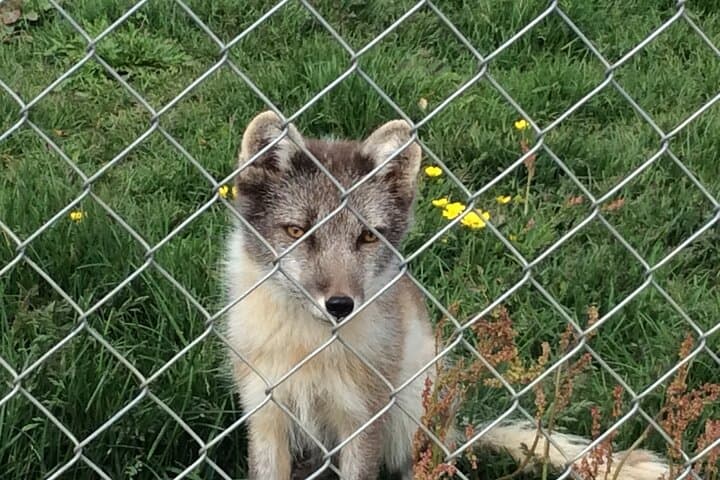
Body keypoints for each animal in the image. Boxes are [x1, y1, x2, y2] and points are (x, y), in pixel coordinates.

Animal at [223, 111, 670, 480]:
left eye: (367, 237)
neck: (310, 350)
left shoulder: (364, 419)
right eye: (297, 231)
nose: (340, 306)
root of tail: (454, 429)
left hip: (409, 421)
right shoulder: (264, 415)